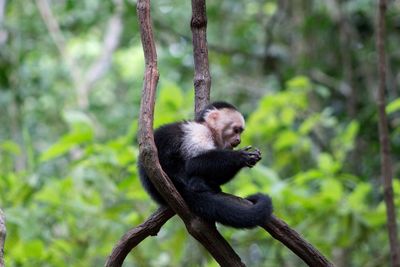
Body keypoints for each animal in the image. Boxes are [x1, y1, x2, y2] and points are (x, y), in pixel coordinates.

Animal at [139, 101, 274, 229]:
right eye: (236, 130)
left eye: (240, 132)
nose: (238, 140)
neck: (208, 128)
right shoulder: (199, 132)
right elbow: (192, 164)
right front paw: (241, 157)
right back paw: (197, 184)